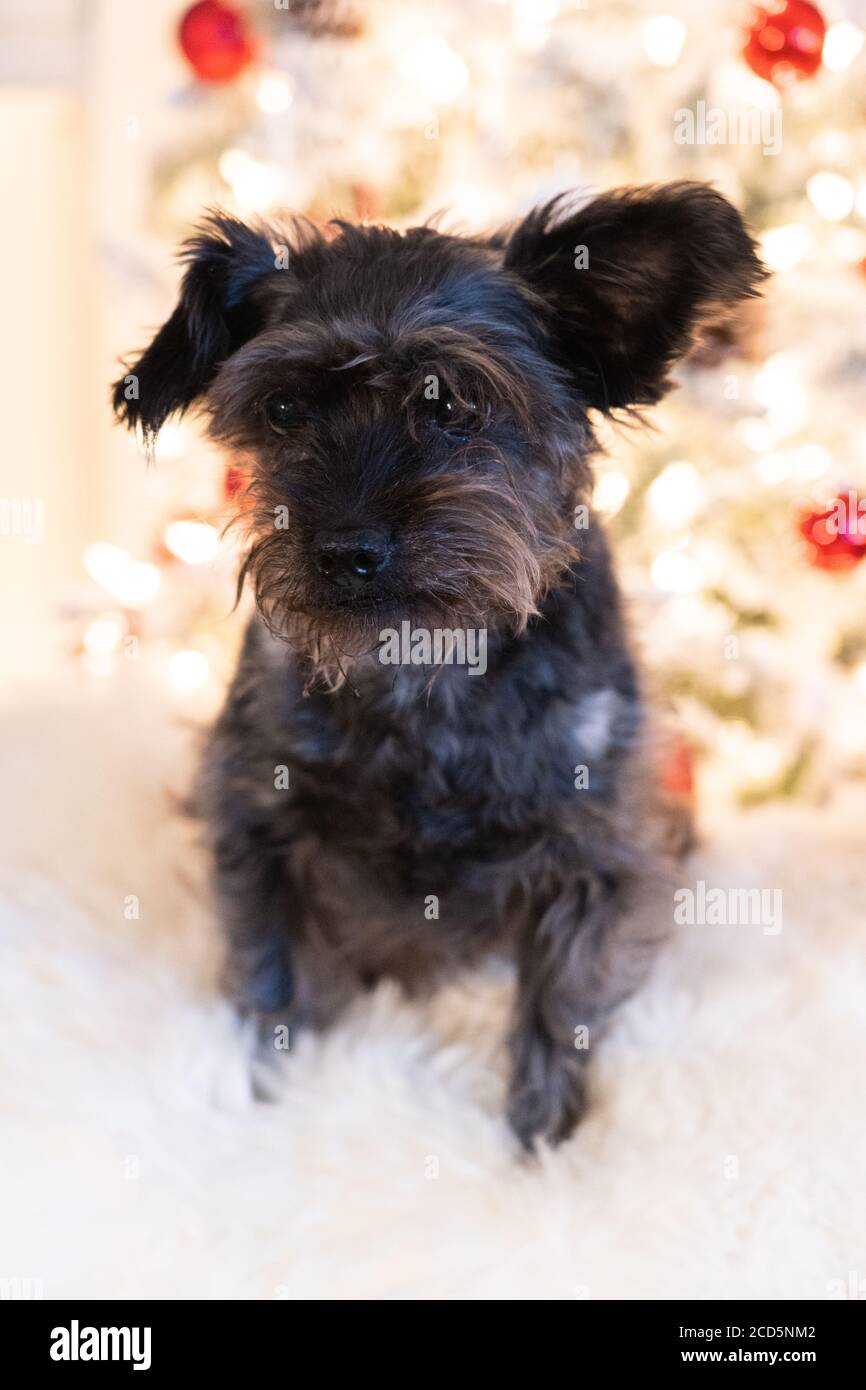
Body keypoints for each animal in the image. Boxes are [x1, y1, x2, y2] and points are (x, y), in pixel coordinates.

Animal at [113, 179, 767, 1145]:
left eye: (453, 403)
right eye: (282, 409)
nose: (347, 550)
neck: (423, 668)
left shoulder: (596, 853)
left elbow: (560, 1008)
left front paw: (543, 1142)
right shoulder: (260, 824)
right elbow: (272, 983)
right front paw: (266, 1098)